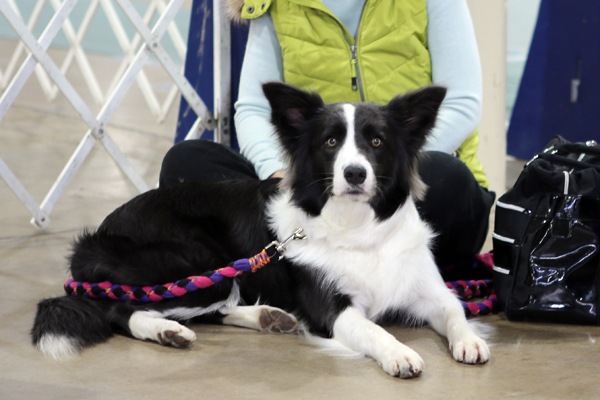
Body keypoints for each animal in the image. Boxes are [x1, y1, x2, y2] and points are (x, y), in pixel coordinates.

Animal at [31, 82, 489, 378]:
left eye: (376, 142)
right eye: (330, 143)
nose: (355, 174)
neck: (358, 230)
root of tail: (94, 239)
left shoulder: (427, 289)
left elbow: (455, 308)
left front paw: (468, 340)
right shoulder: (334, 310)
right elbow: (374, 329)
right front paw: (399, 353)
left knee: (214, 309)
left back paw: (267, 316)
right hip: (199, 260)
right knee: (118, 307)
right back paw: (166, 330)